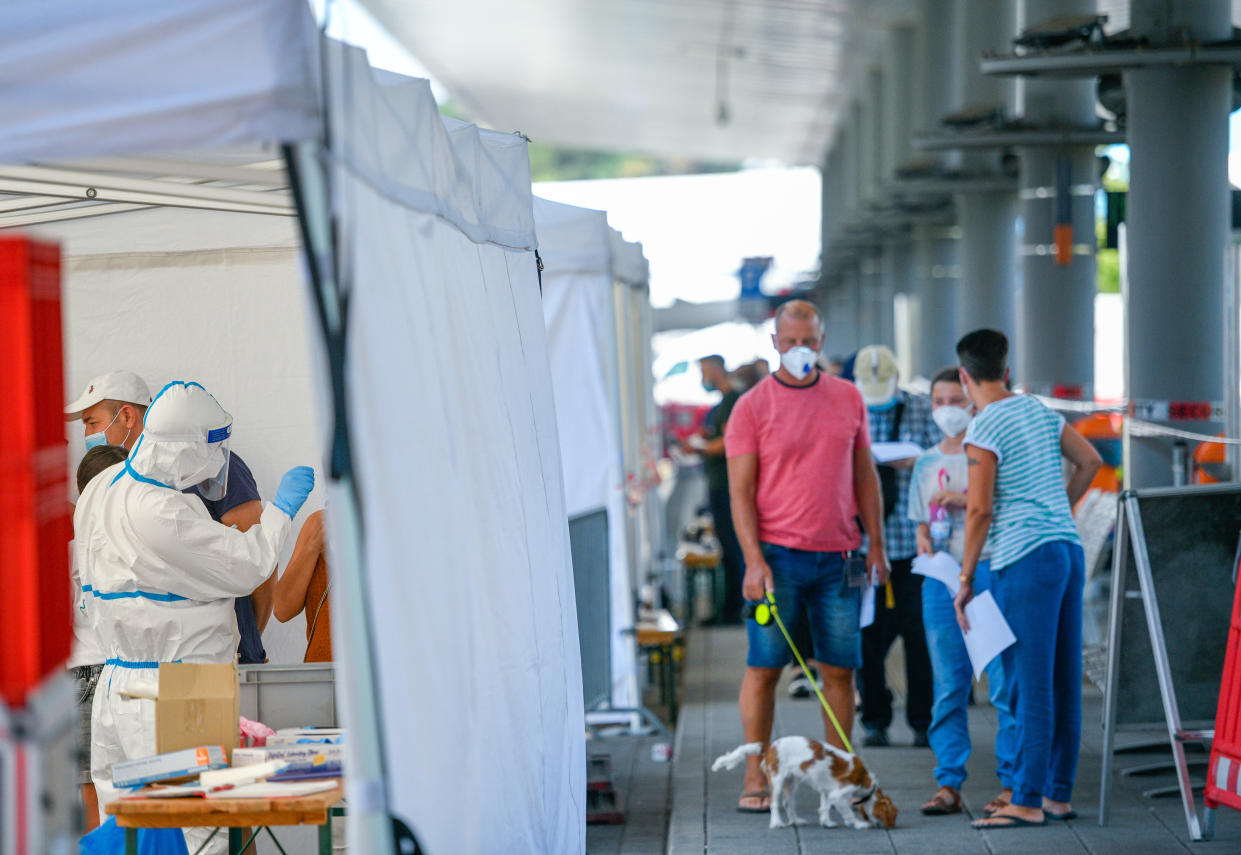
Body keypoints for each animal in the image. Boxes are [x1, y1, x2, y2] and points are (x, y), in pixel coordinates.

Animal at [714, 734, 898, 828]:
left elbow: (824, 807)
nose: (882, 825)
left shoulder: (827, 791)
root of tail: (770, 745)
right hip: (777, 780)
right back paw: (777, 823)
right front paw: (858, 824)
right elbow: (847, 812)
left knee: (788, 803)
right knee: (775, 804)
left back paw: (796, 821)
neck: (867, 783)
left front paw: (827, 822)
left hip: (791, 782)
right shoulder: (839, 794)